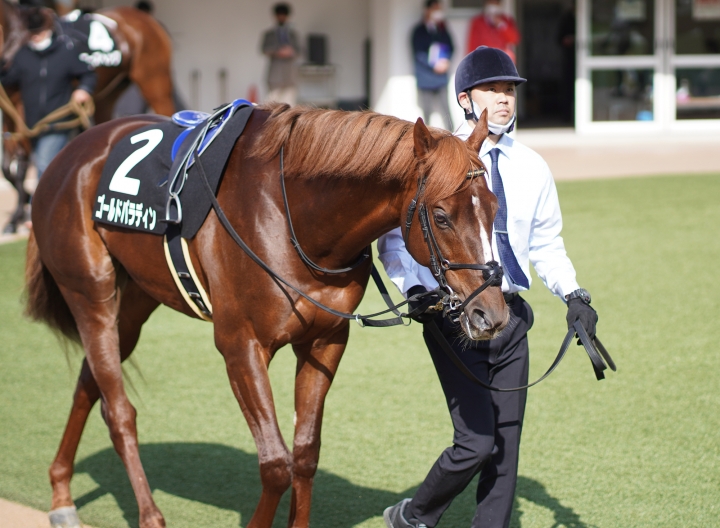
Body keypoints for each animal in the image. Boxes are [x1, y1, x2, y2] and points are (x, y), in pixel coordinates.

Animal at [1, 1, 175, 232]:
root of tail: (145, 18)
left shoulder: (24, 111)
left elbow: (20, 164)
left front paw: (18, 215)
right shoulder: (9, 110)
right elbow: (6, 167)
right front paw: (19, 211)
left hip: (154, 82)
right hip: (110, 93)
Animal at [25, 103, 509, 528]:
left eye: (494, 206)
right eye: (442, 216)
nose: (491, 313)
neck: (290, 216)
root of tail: (67, 155)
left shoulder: (325, 340)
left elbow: (305, 454)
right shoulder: (241, 346)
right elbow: (276, 463)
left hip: (138, 298)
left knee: (89, 385)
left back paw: (61, 494)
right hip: (90, 293)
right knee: (119, 410)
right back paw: (147, 515)